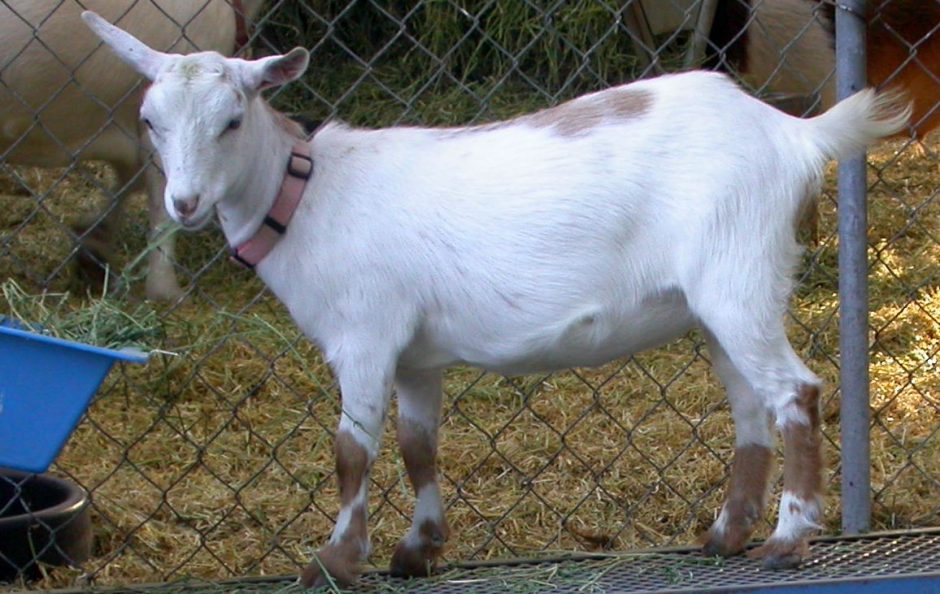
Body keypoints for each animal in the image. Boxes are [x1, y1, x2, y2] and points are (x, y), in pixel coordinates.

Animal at [82, 11, 909, 588]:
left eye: (231, 120)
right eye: (151, 121)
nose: (185, 203)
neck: (310, 194)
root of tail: (792, 133)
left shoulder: (364, 334)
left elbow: (352, 450)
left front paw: (333, 561)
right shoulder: (415, 354)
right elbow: (417, 445)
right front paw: (416, 550)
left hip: (738, 275)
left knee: (796, 393)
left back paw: (786, 541)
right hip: (720, 300)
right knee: (749, 409)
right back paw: (723, 536)